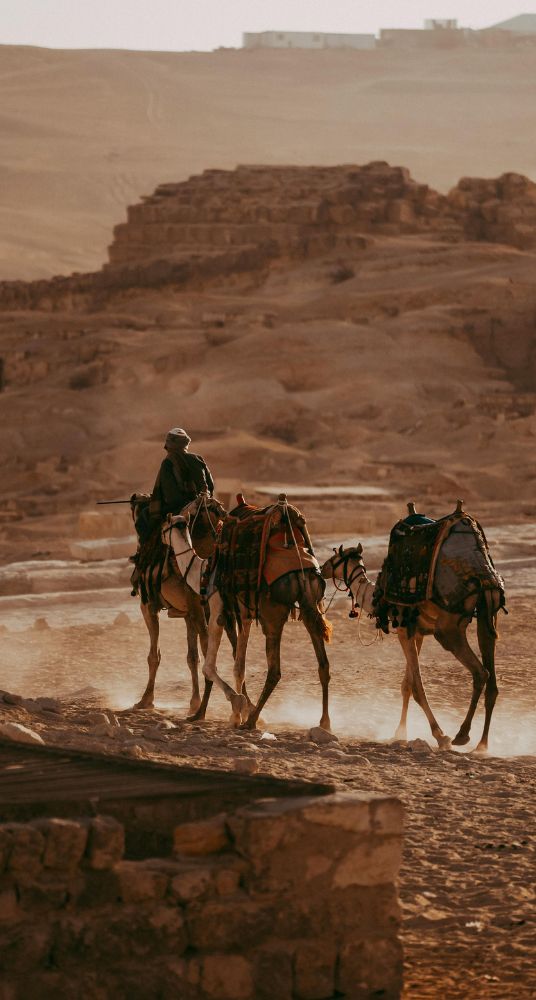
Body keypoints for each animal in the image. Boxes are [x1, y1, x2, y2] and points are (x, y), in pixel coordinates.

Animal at [132, 494, 230, 716]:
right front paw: (194, 702)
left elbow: (154, 656)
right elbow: (192, 657)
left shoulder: (149, 606)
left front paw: (146, 699)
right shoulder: (189, 613)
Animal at [322, 508, 502, 752]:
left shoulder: (403, 628)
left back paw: (461, 735)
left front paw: (440, 736)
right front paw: (400, 732)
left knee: (480, 672)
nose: (321, 568)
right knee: (491, 676)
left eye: (334, 558)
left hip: (448, 629)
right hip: (488, 612)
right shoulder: (415, 631)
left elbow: (417, 686)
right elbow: (406, 685)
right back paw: (482, 744)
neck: (377, 596)